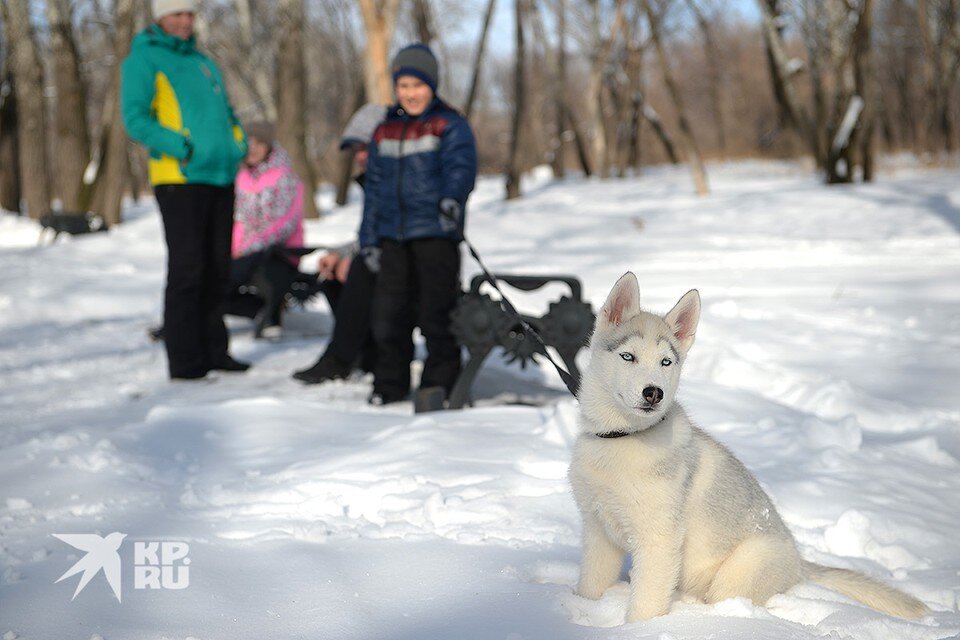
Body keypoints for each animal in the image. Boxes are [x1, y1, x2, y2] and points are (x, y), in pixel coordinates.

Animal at [568, 272, 928, 624]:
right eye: (628, 357)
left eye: (666, 362)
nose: (653, 392)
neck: (621, 438)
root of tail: (799, 562)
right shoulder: (598, 530)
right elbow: (591, 585)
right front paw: (578, 611)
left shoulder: (659, 539)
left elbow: (645, 606)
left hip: (737, 573)